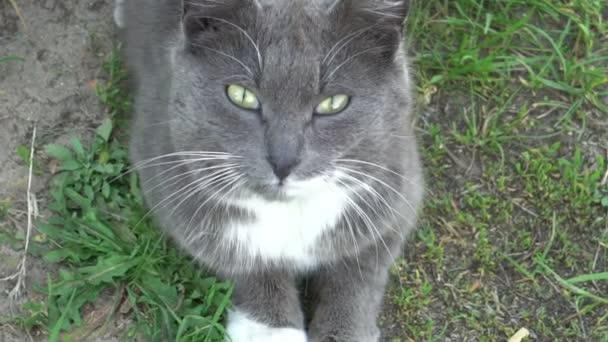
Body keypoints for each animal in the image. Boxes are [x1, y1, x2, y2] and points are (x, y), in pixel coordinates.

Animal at [115, 0, 422, 342]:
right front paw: (271, 329)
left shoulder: (396, 190)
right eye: (241, 95)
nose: (283, 161)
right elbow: (242, 259)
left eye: (334, 103)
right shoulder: (171, 180)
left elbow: (359, 273)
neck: (289, 212)